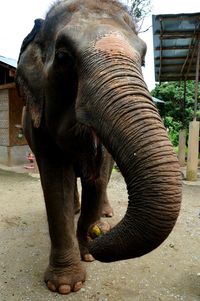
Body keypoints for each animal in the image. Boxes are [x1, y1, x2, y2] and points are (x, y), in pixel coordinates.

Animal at [15, 0, 181, 296]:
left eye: (143, 59)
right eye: (63, 57)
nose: (96, 238)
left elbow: (100, 173)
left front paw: (89, 251)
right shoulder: (39, 124)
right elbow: (56, 180)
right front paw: (65, 285)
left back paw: (104, 217)